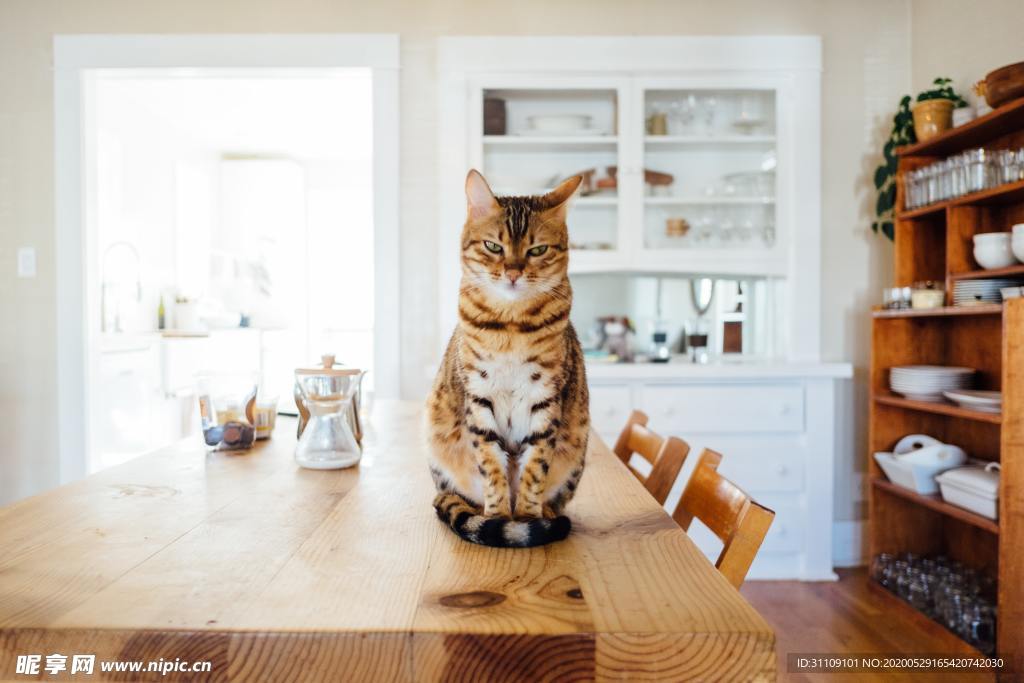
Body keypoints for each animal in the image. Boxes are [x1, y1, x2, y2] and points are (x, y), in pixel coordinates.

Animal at [423, 171, 589, 548]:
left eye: (537, 250)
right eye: (493, 247)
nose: (513, 272)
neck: (511, 326)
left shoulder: (546, 399)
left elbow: (535, 468)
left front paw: (527, 518)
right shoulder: (479, 395)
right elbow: (491, 466)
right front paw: (498, 517)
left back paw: (547, 514)